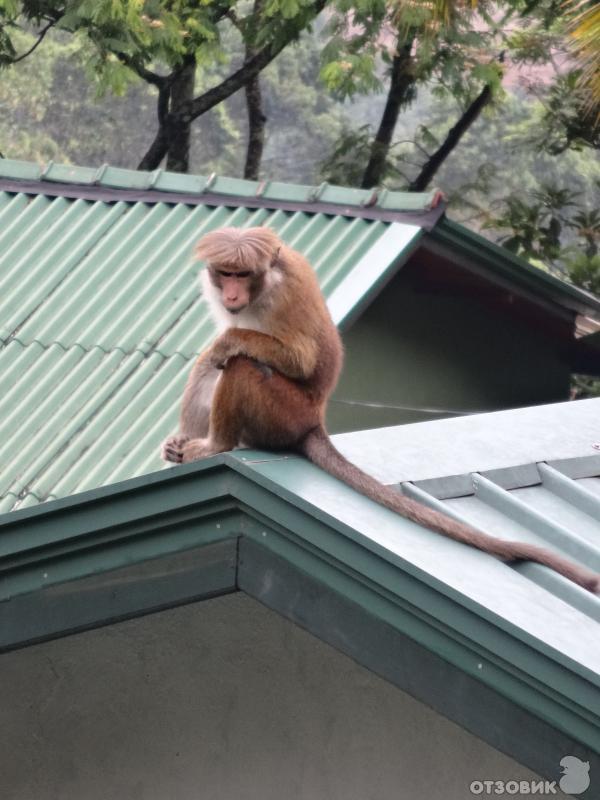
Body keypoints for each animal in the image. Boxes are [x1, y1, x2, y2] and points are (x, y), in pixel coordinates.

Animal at [162, 225, 596, 592]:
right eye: (225, 274)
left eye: (242, 274)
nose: (231, 295)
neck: (263, 286)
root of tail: (314, 421)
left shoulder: (283, 297)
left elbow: (294, 358)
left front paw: (227, 345)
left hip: (282, 412)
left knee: (241, 364)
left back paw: (217, 443)